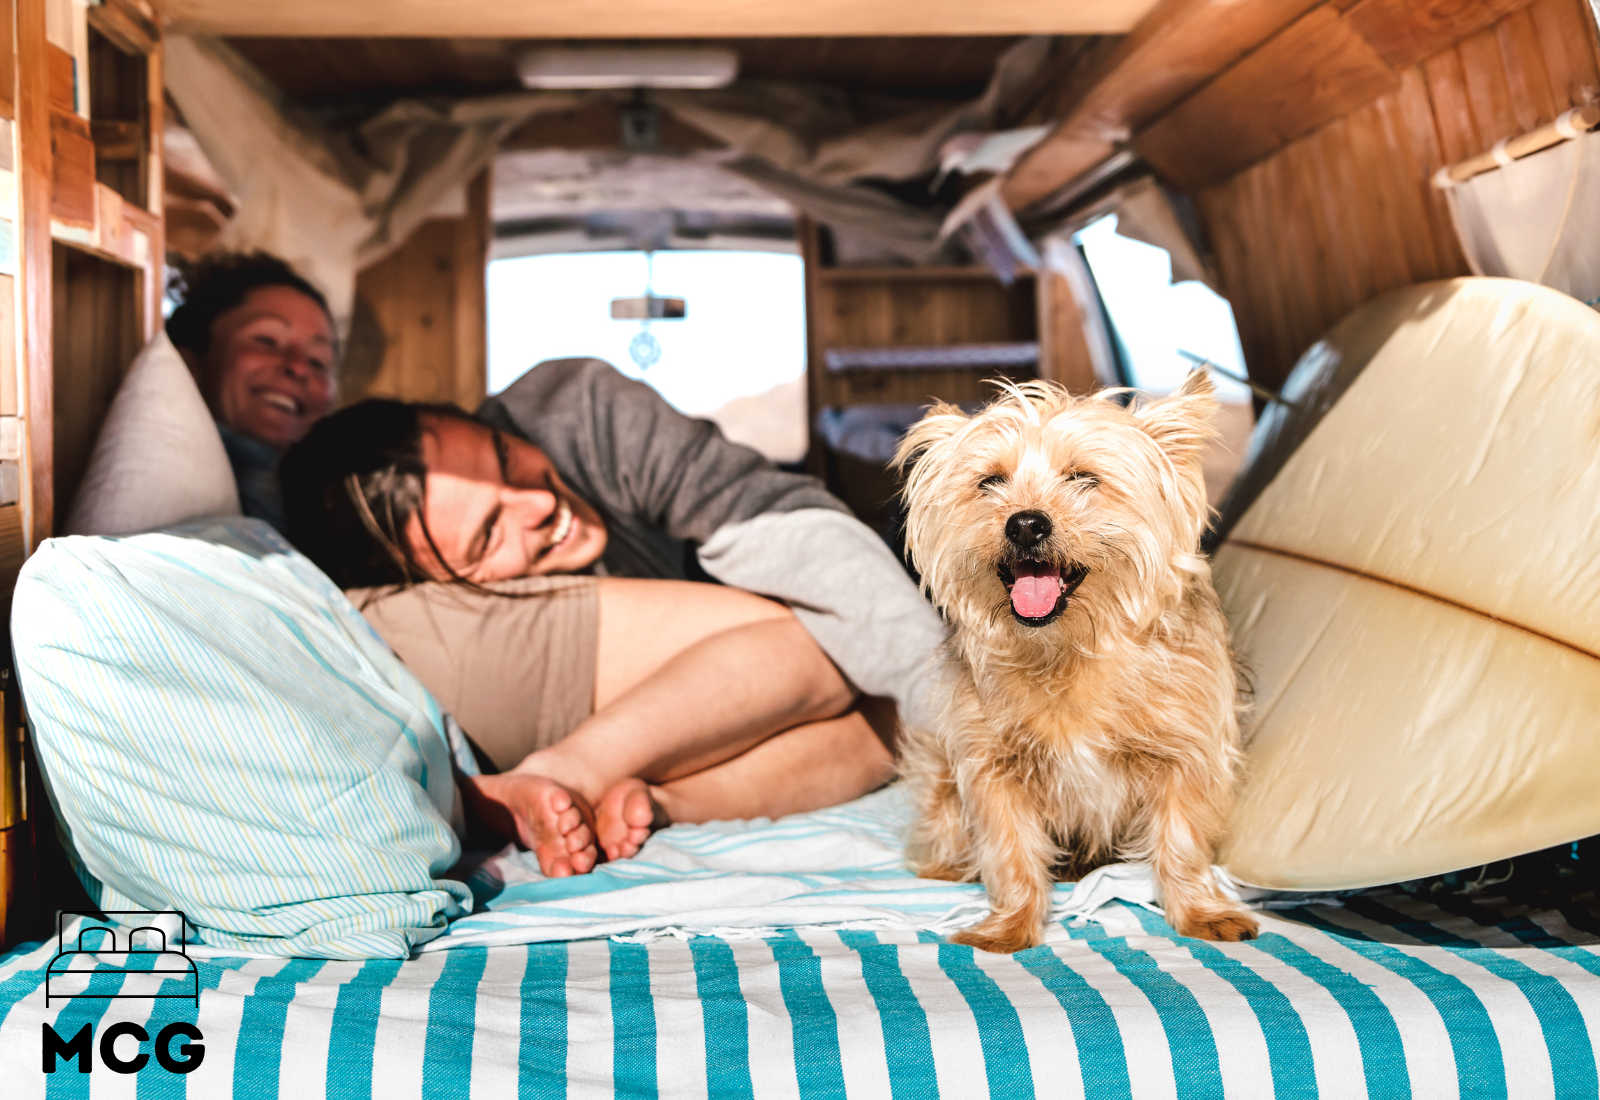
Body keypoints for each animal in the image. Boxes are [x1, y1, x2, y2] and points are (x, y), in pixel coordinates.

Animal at [896, 370, 1254, 952]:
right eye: (990, 482)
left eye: (1083, 477)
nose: (1024, 524)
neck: (1067, 649)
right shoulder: (994, 765)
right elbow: (1011, 852)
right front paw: (1010, 925)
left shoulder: (1186, 754)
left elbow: (1182, 841)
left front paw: (1200, 911)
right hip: (938, 771)